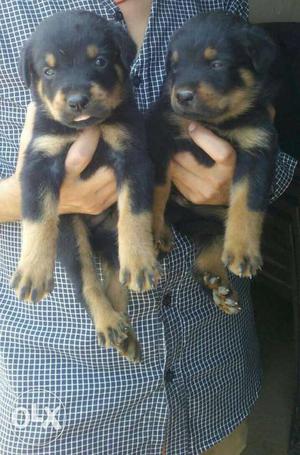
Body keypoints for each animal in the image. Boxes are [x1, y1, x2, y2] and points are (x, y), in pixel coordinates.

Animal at [11, 9, 159, 364]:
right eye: (49, 71)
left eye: (100, 61)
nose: (78, 101)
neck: (85, 130)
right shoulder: (39, 161)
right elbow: (37, 219)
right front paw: (32, 271)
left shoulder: (132, 155)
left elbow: (134, 213)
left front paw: (141, 260)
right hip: (72, 233)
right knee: (87, 280)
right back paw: (110, 323)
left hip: (109, 233)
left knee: (116, 274)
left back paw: (123, 329)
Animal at [148, 12, 278, 316]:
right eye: (175, 67)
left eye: (217, 64)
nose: (182, 95)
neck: (217, 123)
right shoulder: (162, 134)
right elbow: (158, 188)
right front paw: (155, 229)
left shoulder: (257, 146)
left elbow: (248, 203)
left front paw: (243, 251)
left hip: (212, 220)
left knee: (213, 240)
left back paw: (217, 283)